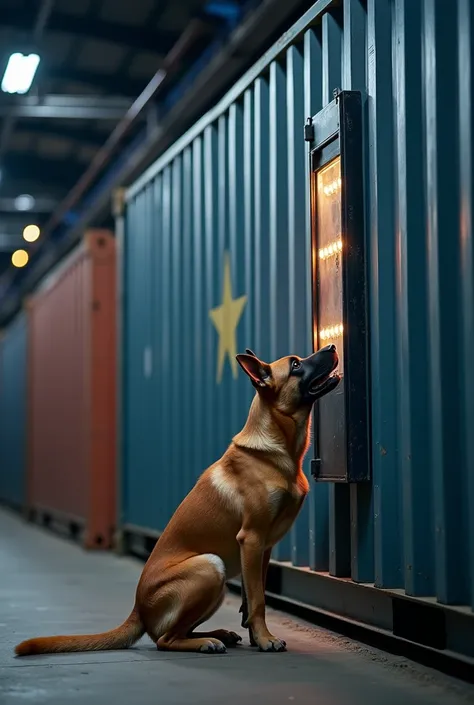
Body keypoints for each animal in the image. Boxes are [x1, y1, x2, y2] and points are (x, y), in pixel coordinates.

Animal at [15, 344, 340, 656]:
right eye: (295, 364)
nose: (333, 347)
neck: (274, 447)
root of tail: (138, 610)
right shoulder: (251, 539)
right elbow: (258, 600)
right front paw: (265, 640)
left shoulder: (263, 549)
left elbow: (251, 598)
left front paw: (255, 637)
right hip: (210, 567)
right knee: (165, 639)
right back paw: (206, 643)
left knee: (177, 632)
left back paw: (217, 635)